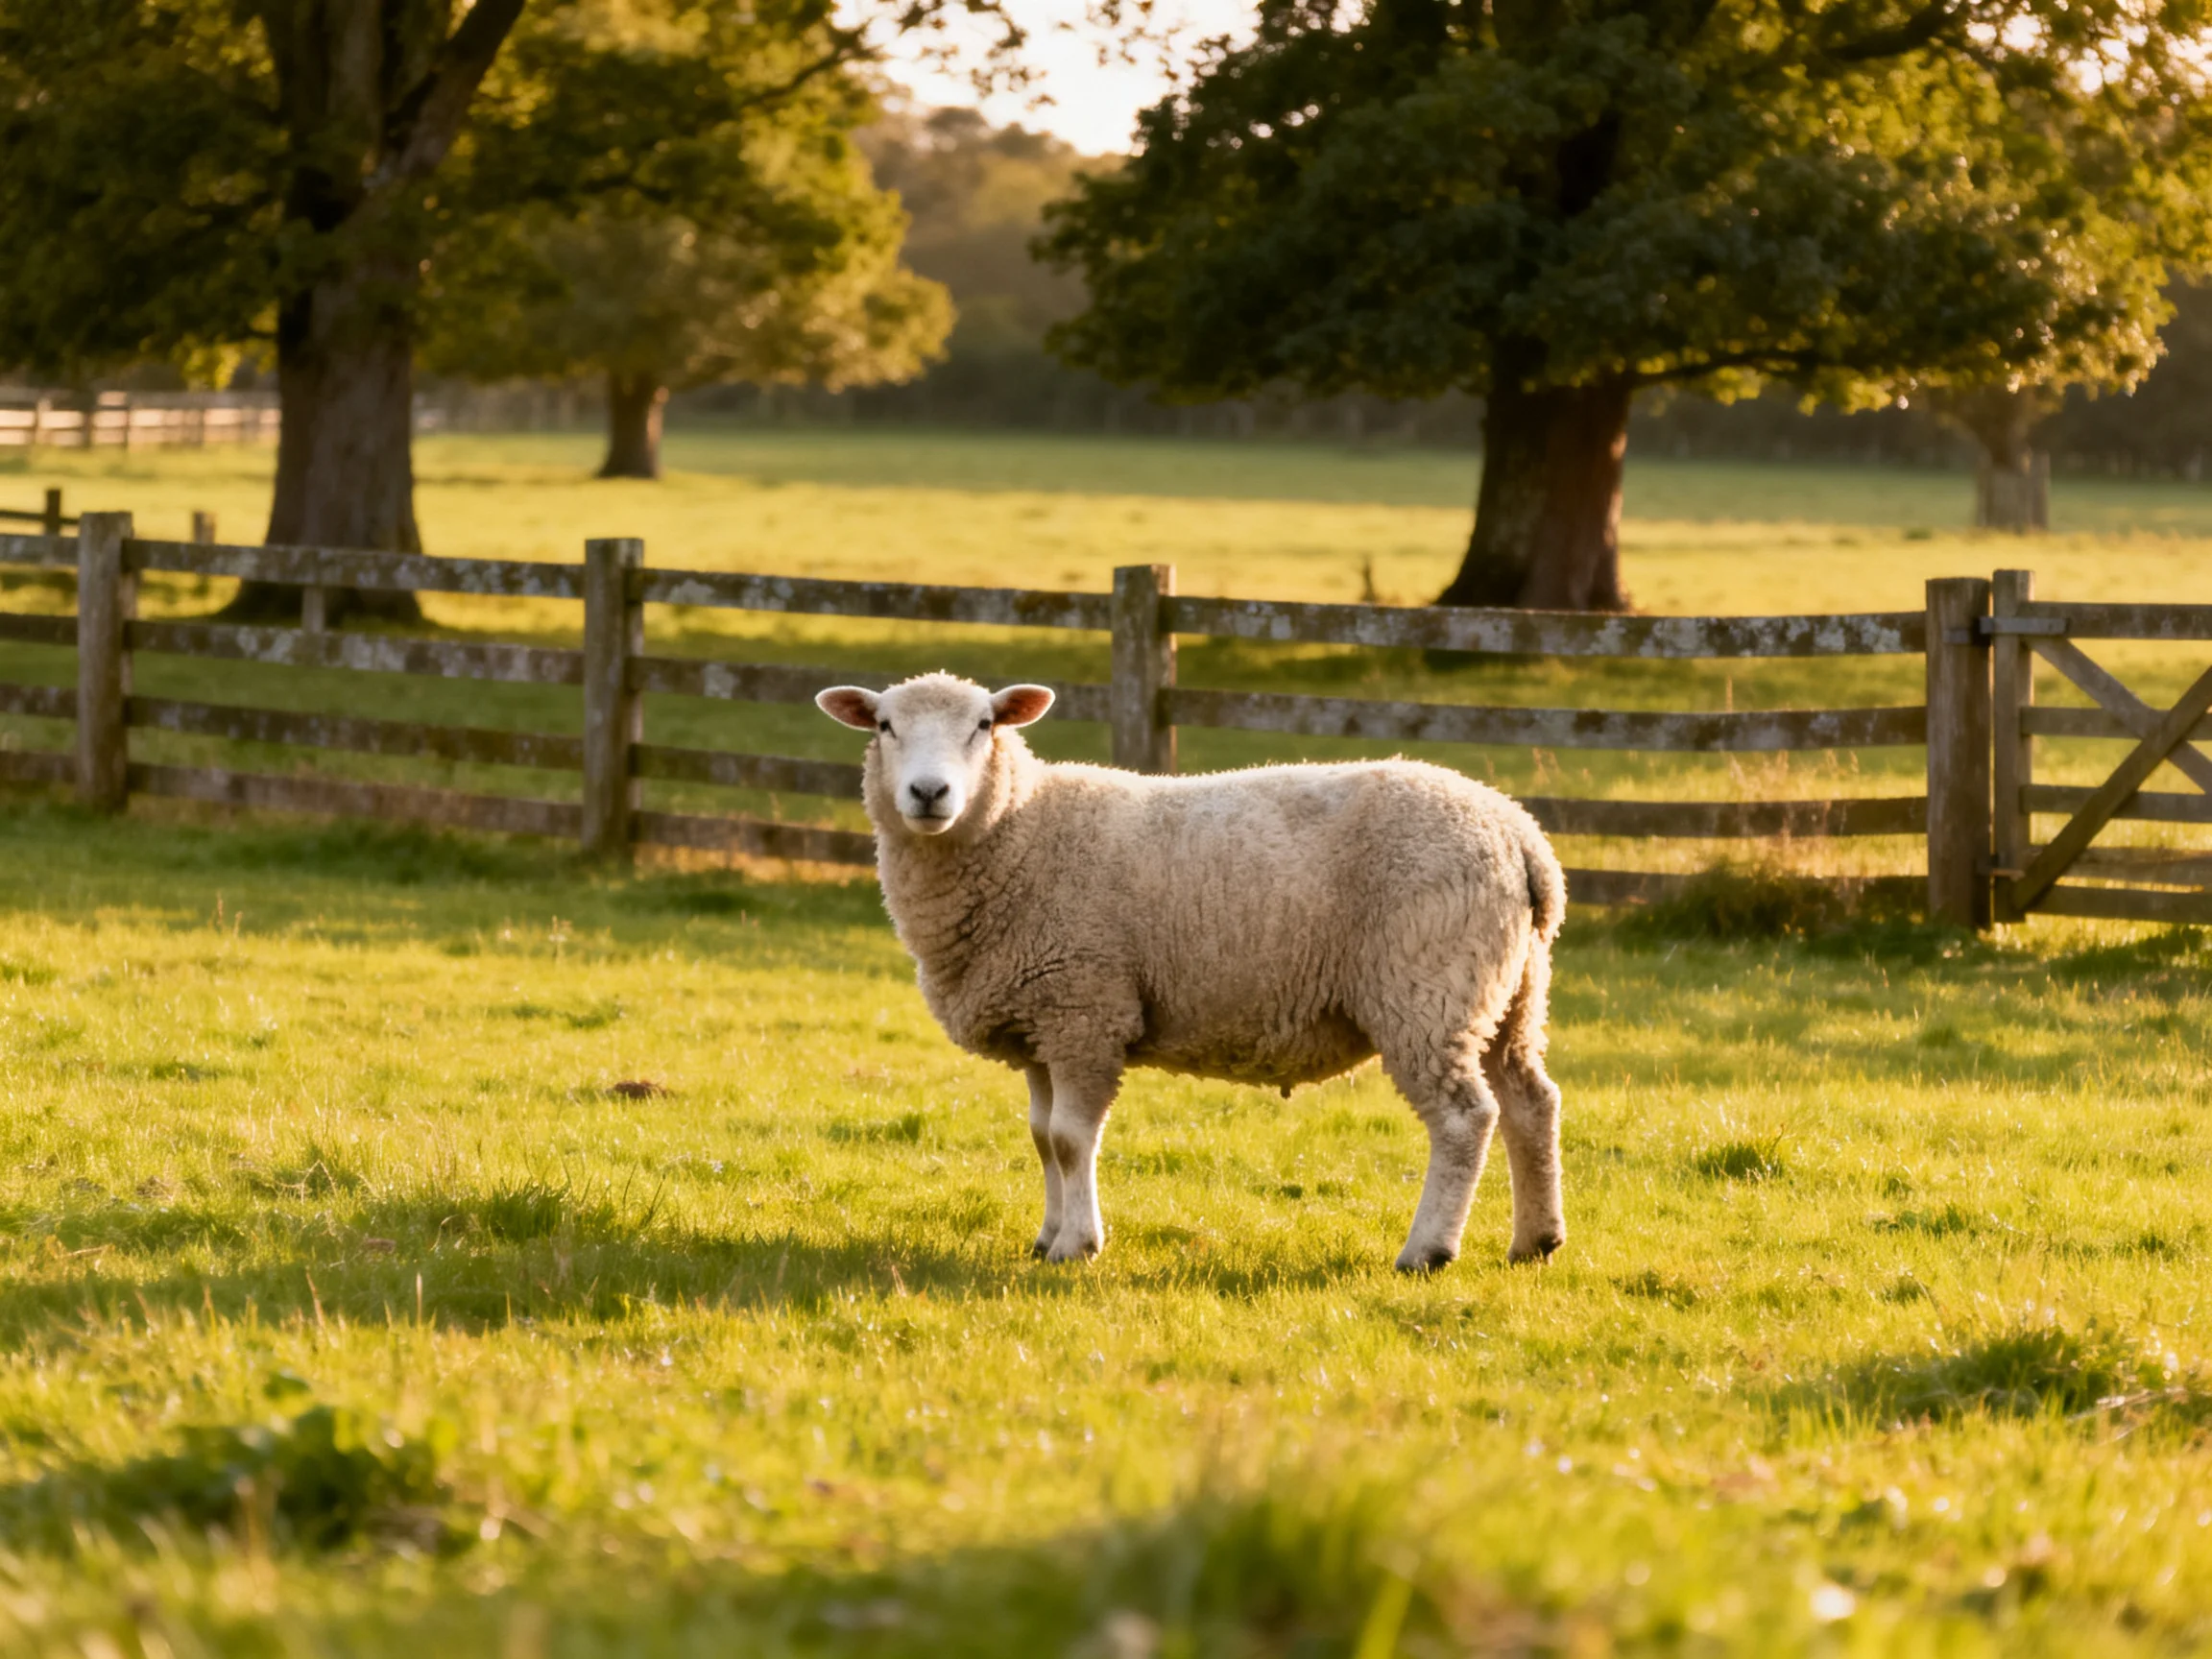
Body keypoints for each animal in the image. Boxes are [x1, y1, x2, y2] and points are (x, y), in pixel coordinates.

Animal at [814, 671, 1567, 1272]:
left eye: (983, 725)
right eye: (885, 726)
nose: (929, 792)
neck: (1019, 831)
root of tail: (1519, 833)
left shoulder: (1086, 1010)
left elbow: (1070, 1140)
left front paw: (1077, 1246)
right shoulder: (1041, 1022)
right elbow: (1042, 1139)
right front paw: (1047, 1237)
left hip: (1427, 989)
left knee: (1465, 1118)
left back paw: (1427, 1251)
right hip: (1508, 993)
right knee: (1532, 1102)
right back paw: (1535, 1241)